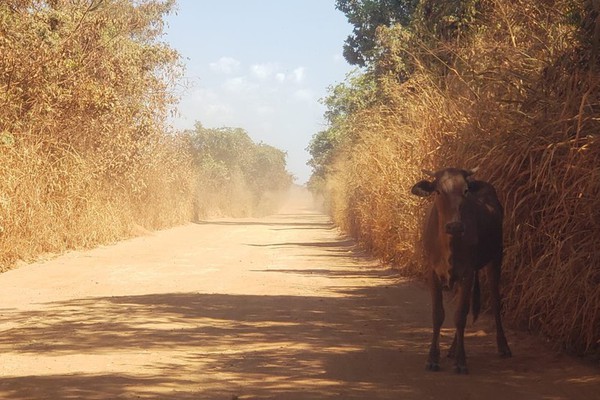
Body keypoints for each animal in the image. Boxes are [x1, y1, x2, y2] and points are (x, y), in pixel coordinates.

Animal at [412, 167, 510, 374]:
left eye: (465, 191)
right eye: (438, 191)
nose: (455, 226)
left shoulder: (468, 273)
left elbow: (460, 316)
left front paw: (461, 361)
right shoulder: (433, 272)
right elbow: (438, 314)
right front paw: (433, 359)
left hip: (497, 256)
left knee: (495, 302)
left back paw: (503, 346)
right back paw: (452, 349)